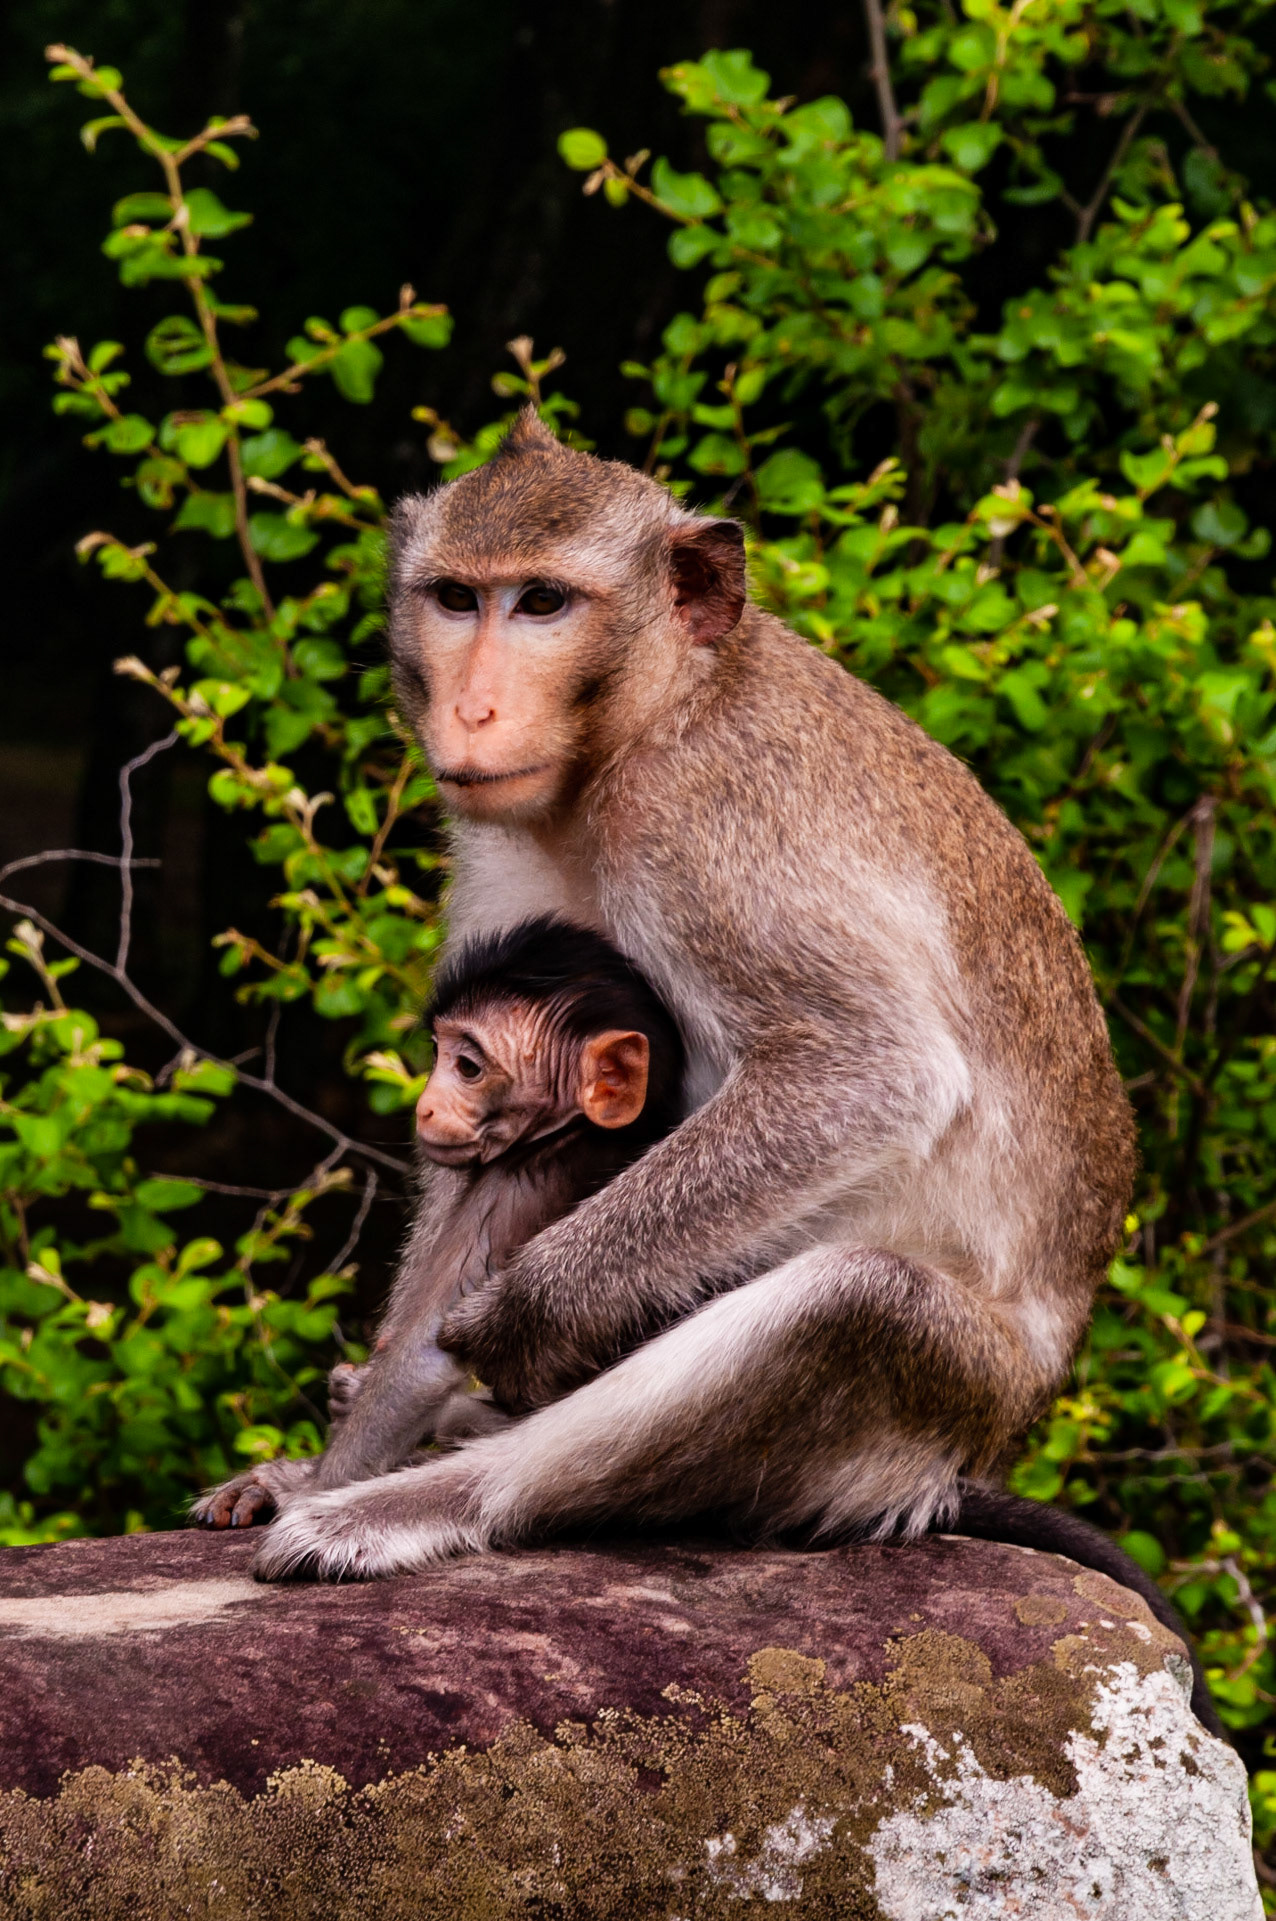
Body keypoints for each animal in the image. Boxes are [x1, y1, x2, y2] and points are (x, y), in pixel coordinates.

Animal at [190, 915, 685, 1529]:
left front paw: (299, 1488)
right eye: (435, 1050)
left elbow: (421, 1361)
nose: (422, 1106)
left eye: (467, 1067)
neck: (575, 1133)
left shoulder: (510, 1187)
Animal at [240, 408, 1220, 1732]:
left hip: (935, 1406)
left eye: (542, 603)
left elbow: (866, 1071)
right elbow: (463, 1188)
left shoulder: (701, 829)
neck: (644, 724)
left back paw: (439, 1496)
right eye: (455, 598)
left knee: (854, 1301)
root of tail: (978, 1450)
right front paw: (333, 1444)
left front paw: (524, 1312)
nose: (475, 710)